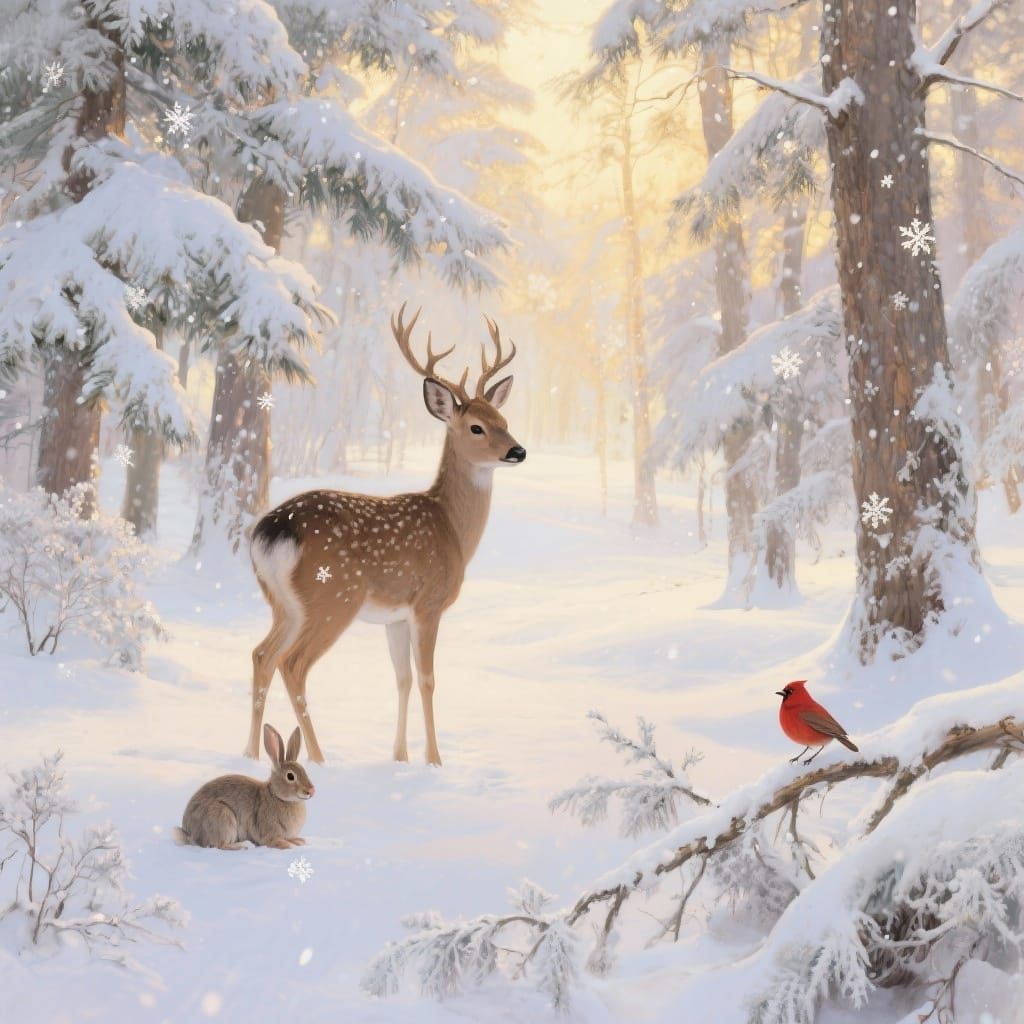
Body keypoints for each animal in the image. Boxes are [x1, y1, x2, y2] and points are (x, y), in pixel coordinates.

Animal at [245, 304, 525, 767]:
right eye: (476, 428)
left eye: (504, 419)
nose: (518, 450)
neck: (452, 530)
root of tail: (273, 530)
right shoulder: (429, 601)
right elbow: (428, 678)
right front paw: (434, 760)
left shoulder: (395, 616)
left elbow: (402, 678)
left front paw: (400, 757)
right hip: (333, 597)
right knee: (293, 664)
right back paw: (317, 758)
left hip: (282, 602)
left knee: (261, 654)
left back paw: (250, 753)